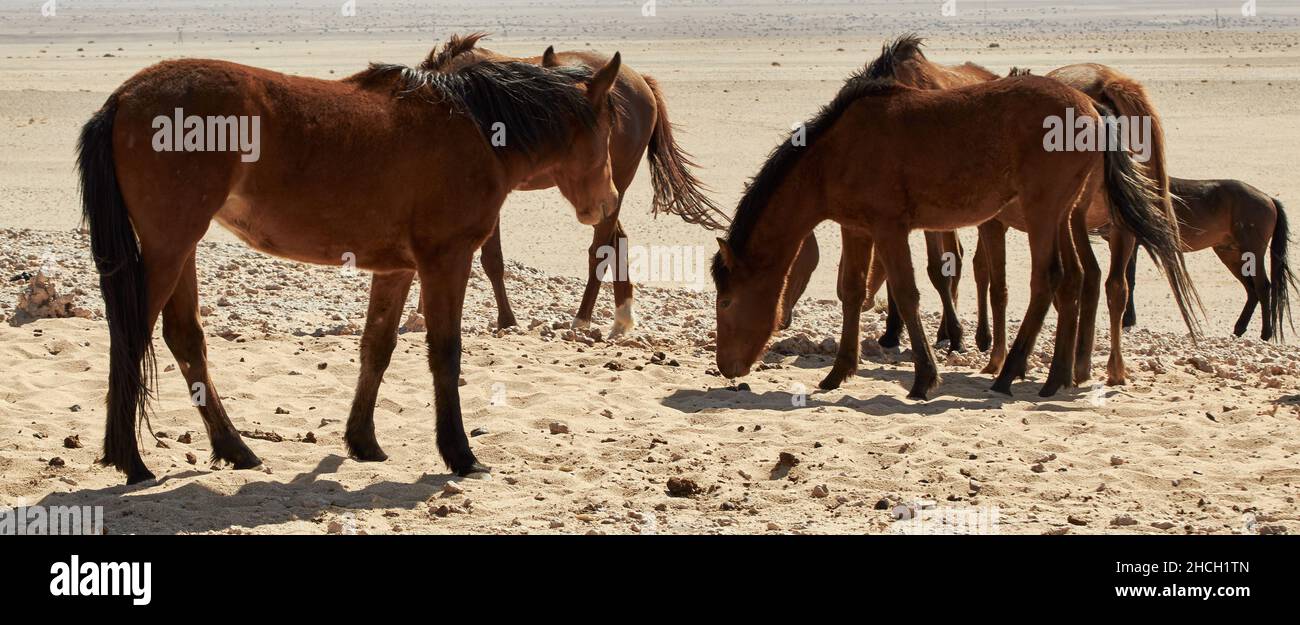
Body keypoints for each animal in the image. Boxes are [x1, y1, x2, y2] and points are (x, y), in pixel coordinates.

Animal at [77, 50, 624, 488]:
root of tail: (123, 97)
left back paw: (235, 449)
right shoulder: (446, 261)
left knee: (184, 338)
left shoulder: (397, 270)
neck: (473, 127)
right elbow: (445, 355)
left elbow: (376, 349)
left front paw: (363, 442)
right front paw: (460, 455)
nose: (608, 202)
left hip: (180, 248)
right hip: (170, 247)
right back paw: (132, 461)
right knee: (133, 336)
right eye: (606, 131)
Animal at [712, 42, 1196, 400]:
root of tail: (1095, 107)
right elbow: (851, 292)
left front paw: (924, 378)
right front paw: (838, 372)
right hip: (1063, 213)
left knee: (1048, 279)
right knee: (1076, 277)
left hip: (1043, 213)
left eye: (727, 301)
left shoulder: (890, 229)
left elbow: (906, 294)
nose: (725, 367)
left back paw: (1011, 372)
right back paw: (1056, 376)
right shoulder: (857, 229)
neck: (833, 154)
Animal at [1123, 175, 1294, 340]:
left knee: (1262, 287)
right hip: (1230, 254)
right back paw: (1239, 329)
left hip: (1252, 252)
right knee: (1251, 290)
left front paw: (1127, 321)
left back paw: (1265, 334)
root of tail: (1268, 198)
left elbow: (1128, 279)